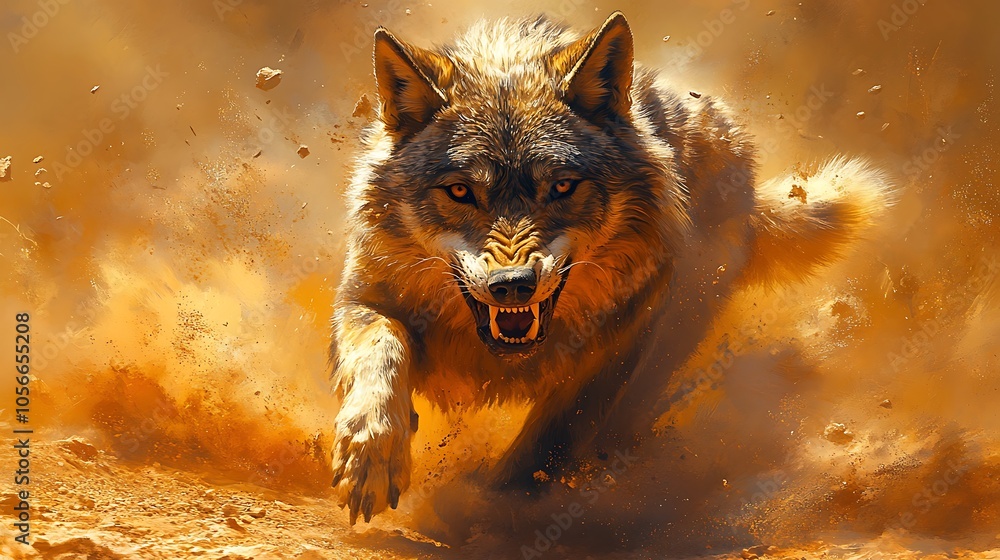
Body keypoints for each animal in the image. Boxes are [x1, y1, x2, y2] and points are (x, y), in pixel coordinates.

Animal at [329, 11, 890, 524]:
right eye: (462, 191)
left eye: (561, 186)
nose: (512, 286)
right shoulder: (364, 298)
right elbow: (381, 352)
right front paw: (371, 456)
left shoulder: (619, 349)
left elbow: (549, 444)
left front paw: (490, 508)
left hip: (670, 340)